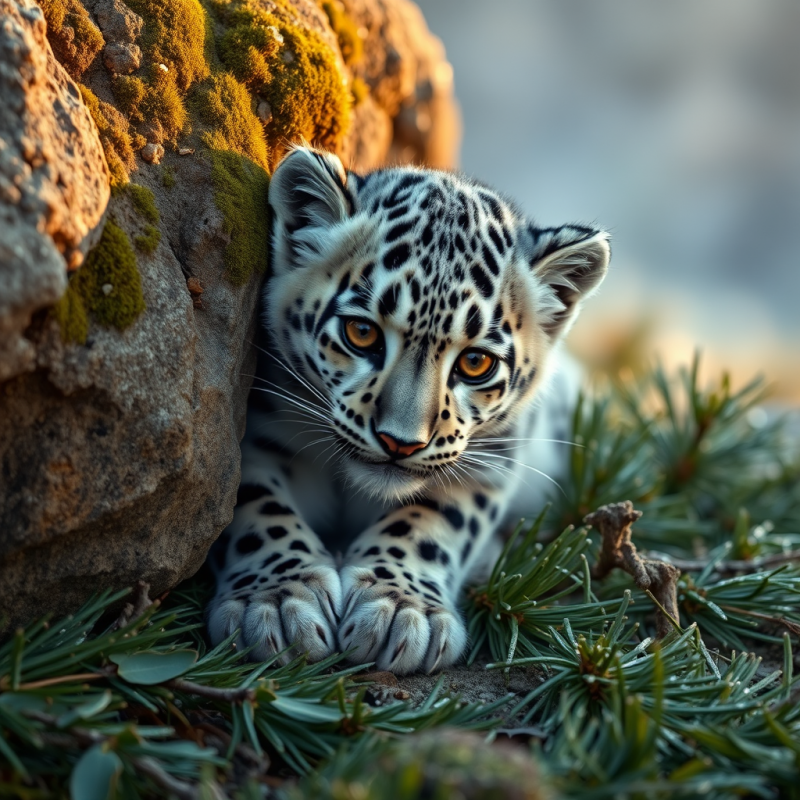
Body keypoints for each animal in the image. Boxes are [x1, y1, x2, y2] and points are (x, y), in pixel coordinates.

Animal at [206, 145, 610, 674]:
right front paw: (277, 601)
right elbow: (258, 506)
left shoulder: (490, 464)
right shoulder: (260, 434)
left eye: (475, 362)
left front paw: (398, 609)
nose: (400, 442)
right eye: (361, 332)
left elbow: (433, 519)